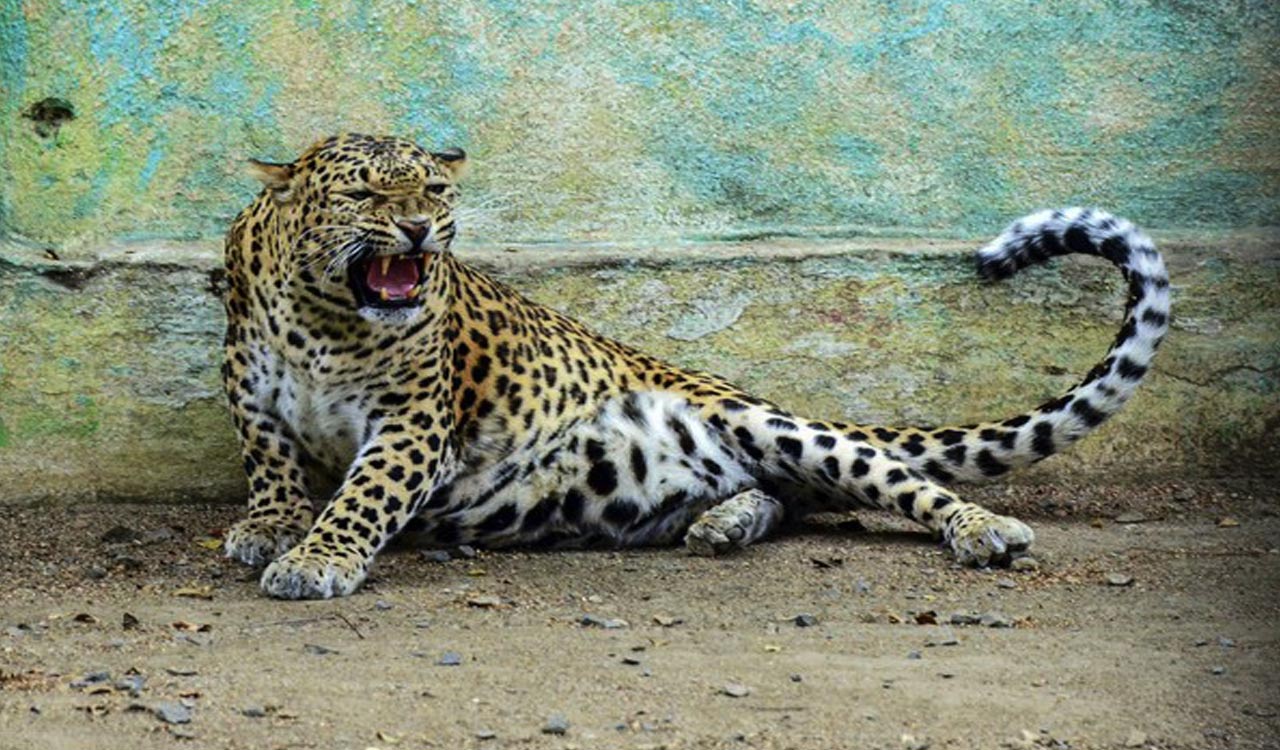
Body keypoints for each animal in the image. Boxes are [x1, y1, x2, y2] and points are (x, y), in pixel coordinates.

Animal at [220, 133, 1170, 599]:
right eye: (364, 193)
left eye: (435, 191)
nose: (419, 230)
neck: (323, 320)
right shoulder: (249, 386)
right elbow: (268, 460)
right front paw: (271, 525)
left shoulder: (414, 421)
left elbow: (365, 494)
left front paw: (317, 558)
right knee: (779, 496)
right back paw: (723, 524)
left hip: (773, 426)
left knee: (894, 480)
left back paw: (983, 530)